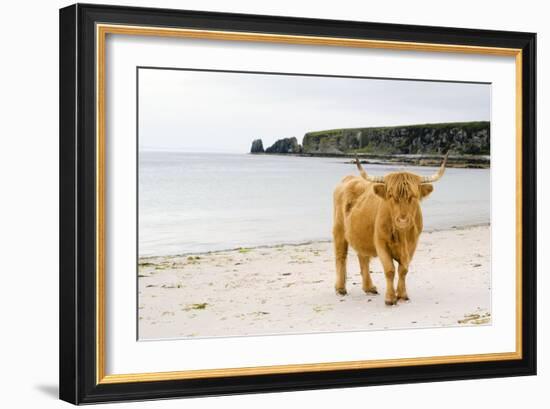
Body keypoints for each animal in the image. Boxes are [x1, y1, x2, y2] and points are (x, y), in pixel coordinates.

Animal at [332, 155, 448, 304]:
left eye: (414, 196)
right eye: (391, 195)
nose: (402, 220)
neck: (402, 235)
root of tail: (348, 178)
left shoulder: (412, 245)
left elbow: (403, 269)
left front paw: (402, 295)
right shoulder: (381, 243)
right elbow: (390, 269)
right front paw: (390, 298)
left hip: (360, 233)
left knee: (363, 257)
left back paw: (369, 288)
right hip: (339, 230)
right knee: (341, 256)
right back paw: (340, 289)